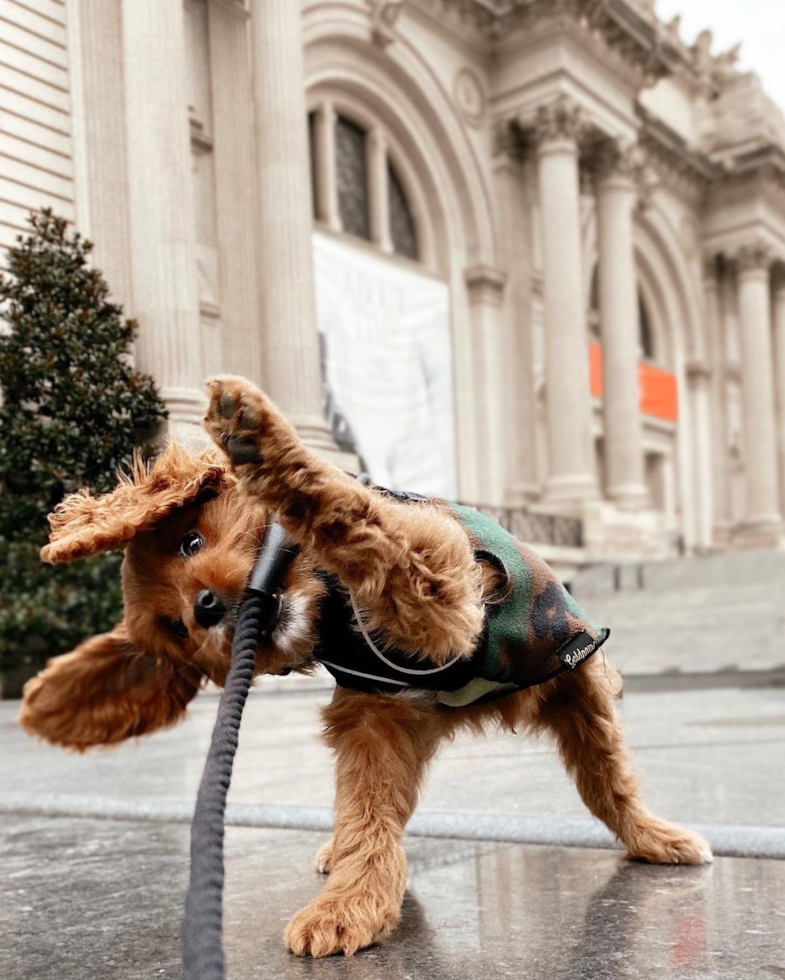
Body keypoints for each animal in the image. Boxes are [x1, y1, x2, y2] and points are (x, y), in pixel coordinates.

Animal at [18, 376, 712, 956]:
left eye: (191, 541)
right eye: (175, 629)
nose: (206, 608)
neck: (332, 615)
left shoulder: (445, 590)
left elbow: (359, 516)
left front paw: (264, 445)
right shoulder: (375, 717)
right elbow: (367, 816)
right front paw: (352, 903)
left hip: (581, 694)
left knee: (608, 785)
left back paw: (657, 838)